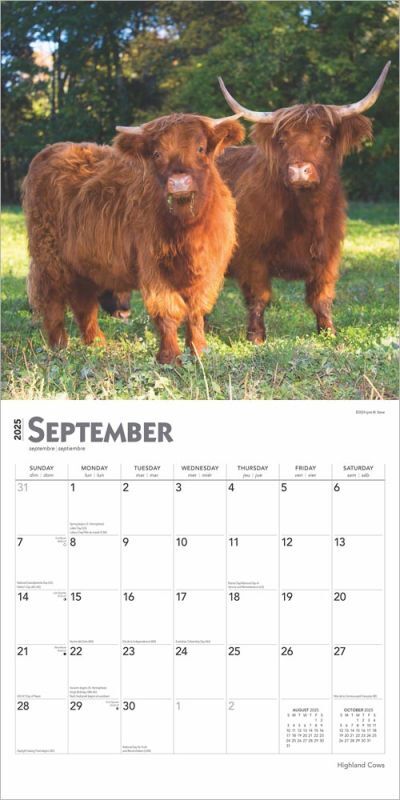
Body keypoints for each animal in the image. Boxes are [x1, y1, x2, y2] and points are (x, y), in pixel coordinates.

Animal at [23, 112, 244, 363]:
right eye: (157, 153)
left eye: (200, 148)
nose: (179, 183)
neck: (188, 229)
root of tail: (51, 149)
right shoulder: (153, 266)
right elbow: (167, 310)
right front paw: (170, 357)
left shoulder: (208, 270)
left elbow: (196, 311)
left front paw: (198, 350)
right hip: (48, 256)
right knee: (52, 300)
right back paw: (58, 346)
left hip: (82, 263)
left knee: (84, 302)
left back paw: (97, 344)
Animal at [217, 63, 390, 342]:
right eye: (283, 139)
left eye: (326, 138)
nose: (299, 171)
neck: (306, 212)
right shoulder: (253, 256)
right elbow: (258, 297)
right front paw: (256, 337)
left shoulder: (327, 255)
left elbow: (321, 297)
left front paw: (329, 333)